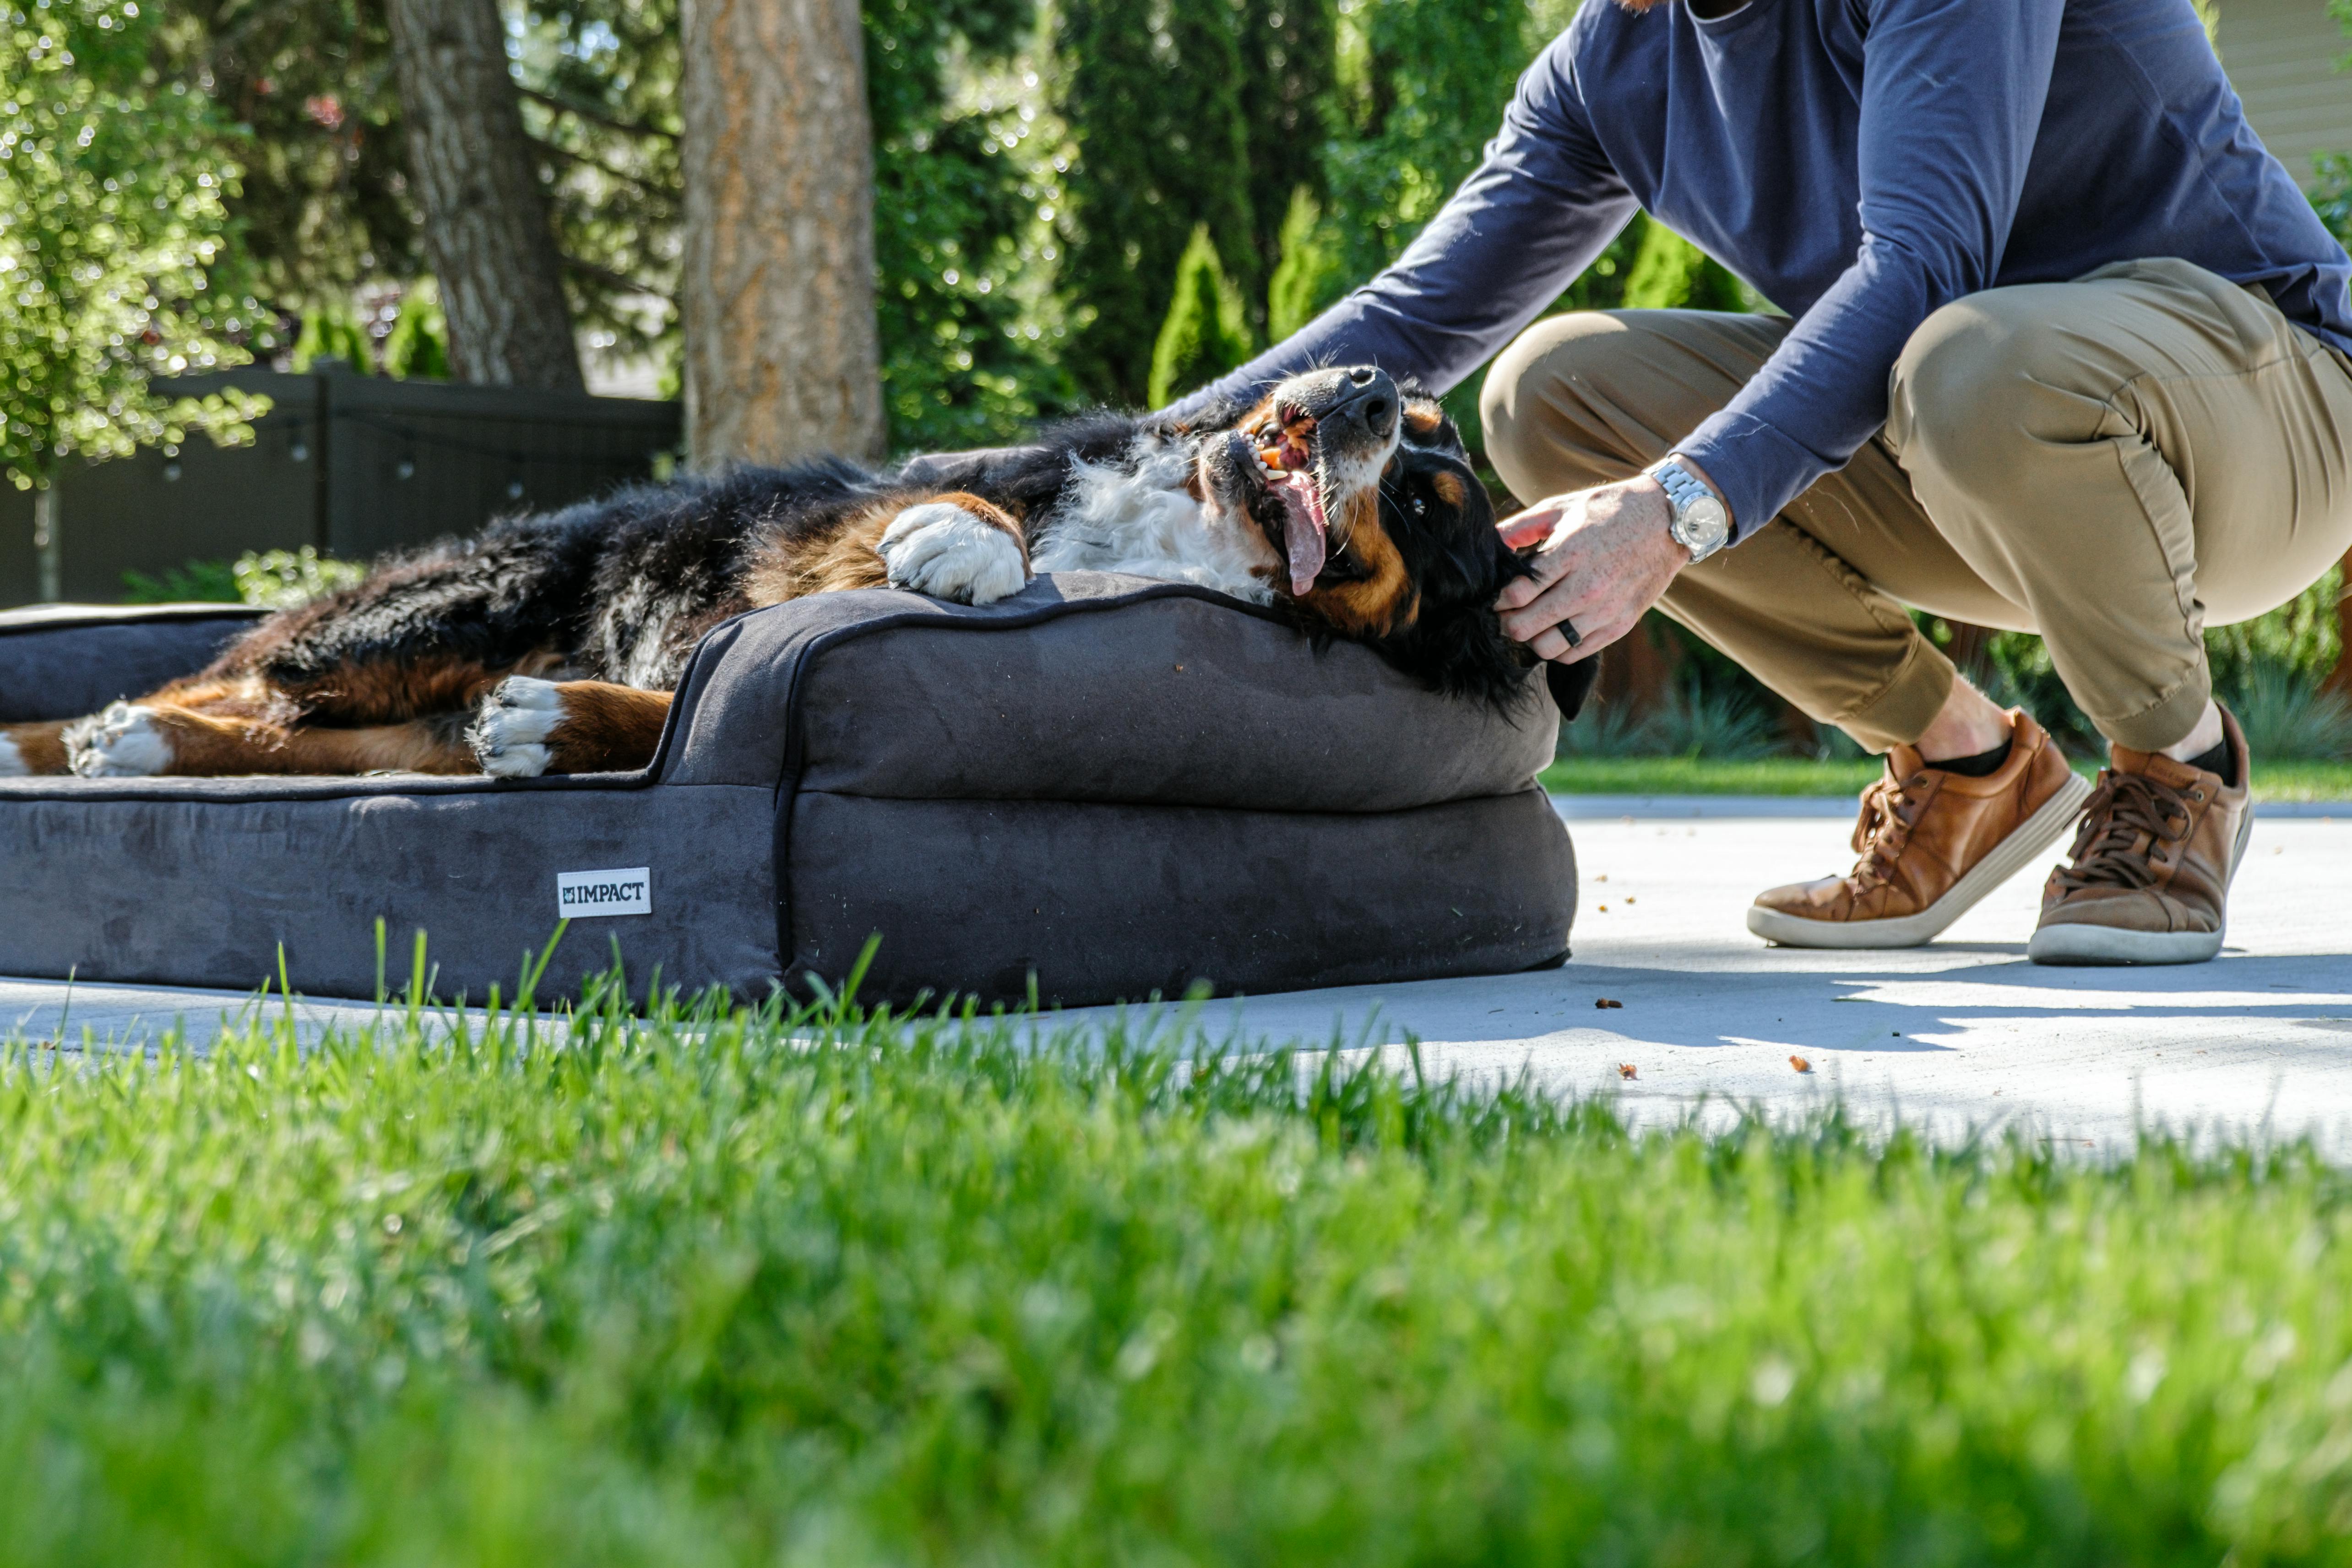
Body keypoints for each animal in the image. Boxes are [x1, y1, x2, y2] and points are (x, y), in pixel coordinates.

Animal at [0, 362, 1590, 780]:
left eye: (1431, 497)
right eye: (1411, 426)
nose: (1366, 383)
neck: (1188, 530)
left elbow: (680, 700)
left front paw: (564, 723)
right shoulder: (844, 518)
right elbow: (960, 498)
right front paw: (963, 542)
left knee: (309, 733)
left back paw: (130, 745)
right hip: (438, 611)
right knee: (255, 686)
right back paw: (98, 732)